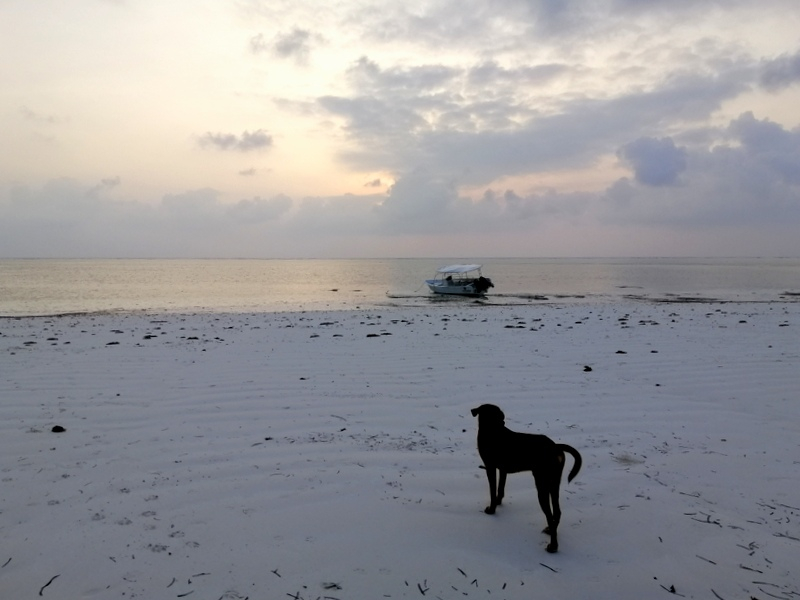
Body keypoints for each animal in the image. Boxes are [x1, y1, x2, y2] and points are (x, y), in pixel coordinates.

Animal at [468, 404, 580, 552]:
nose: (503, 422)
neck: (492, 430)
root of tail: (555, 447)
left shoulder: (490, 468)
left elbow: (492, 491)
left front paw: (491, 509)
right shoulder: (503, 470)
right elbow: (500, 489)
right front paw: (498, 502)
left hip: (542, 485)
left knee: (549, 515)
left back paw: (552, 546)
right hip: (554, 483)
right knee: (557, 512)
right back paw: (550, 530)